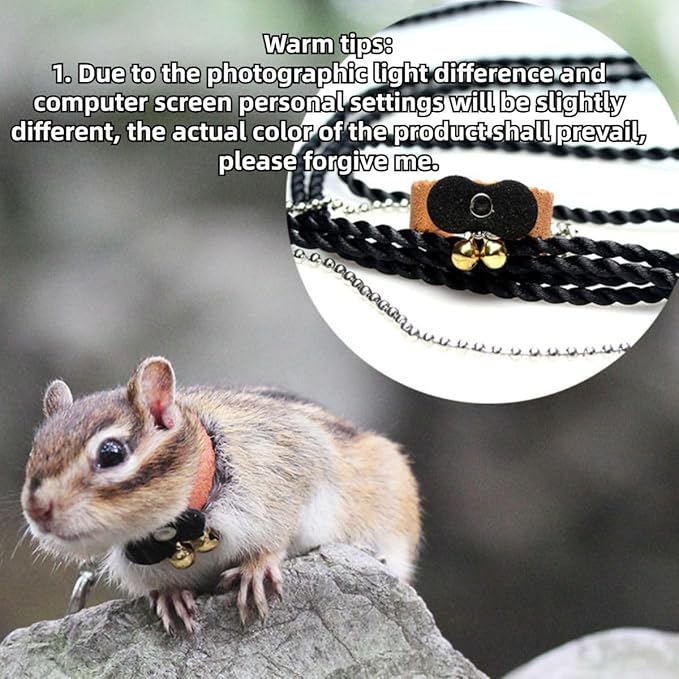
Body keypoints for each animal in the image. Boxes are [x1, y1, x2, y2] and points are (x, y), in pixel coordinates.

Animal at [21, 356, 422, 634]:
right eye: (35, 449)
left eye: (111, 453)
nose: (37, 510)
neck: (182, 535)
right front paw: (169, 595)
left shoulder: (294, 466)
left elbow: (279, 532)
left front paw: (256, 568)